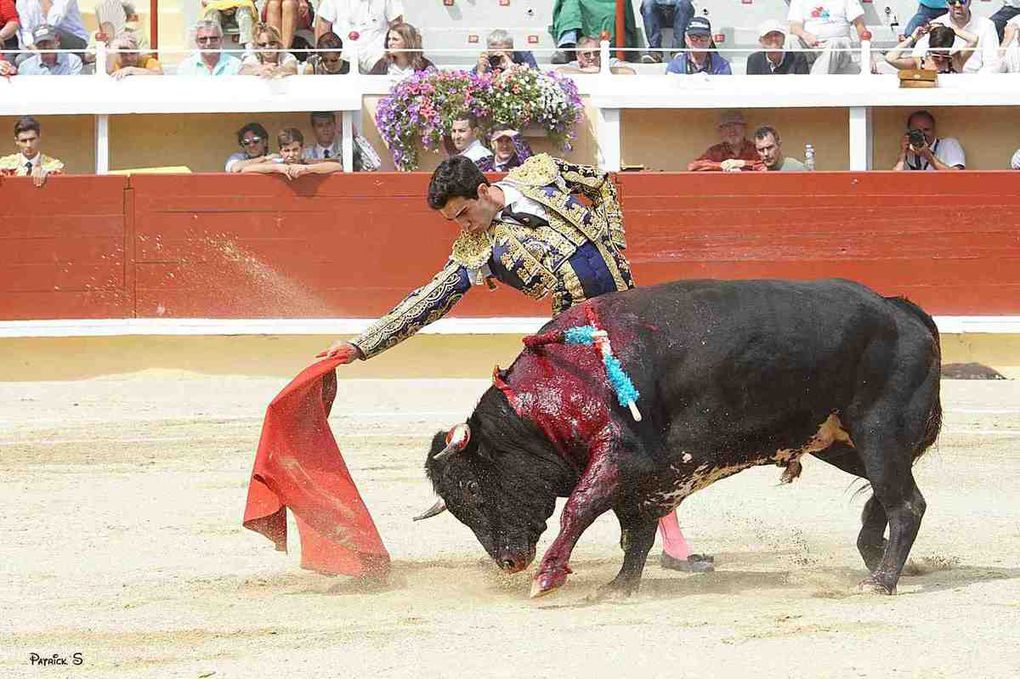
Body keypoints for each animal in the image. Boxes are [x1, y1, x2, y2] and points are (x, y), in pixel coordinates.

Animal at [414, 277, 938, 595]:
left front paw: (547, 578)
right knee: (890, 494)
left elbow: (580, 510)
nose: (508, 562)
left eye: (471, 487)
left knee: (906, 503)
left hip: (879, 431)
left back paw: (881, 580)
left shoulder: (619, 458)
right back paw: (879, 558)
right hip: (843, 440)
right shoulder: (645, 481)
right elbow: (635, 533)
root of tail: (899, 310)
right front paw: (620, 586)